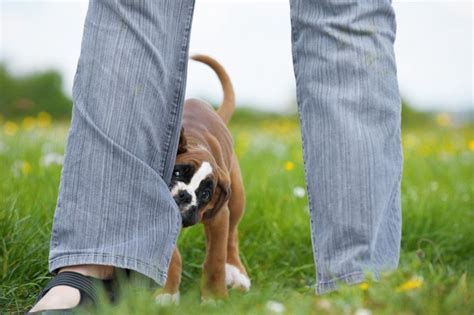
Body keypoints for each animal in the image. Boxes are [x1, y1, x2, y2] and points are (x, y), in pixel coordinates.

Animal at [156, 54, 252, 304]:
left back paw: (236, 272)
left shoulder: (219, 217)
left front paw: (215, 298)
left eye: (205, 193)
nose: (183, 196)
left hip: (235, 200)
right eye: (177, 172)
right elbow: (172, 257)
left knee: (231, 237)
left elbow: (215, 260)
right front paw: (167, 294)